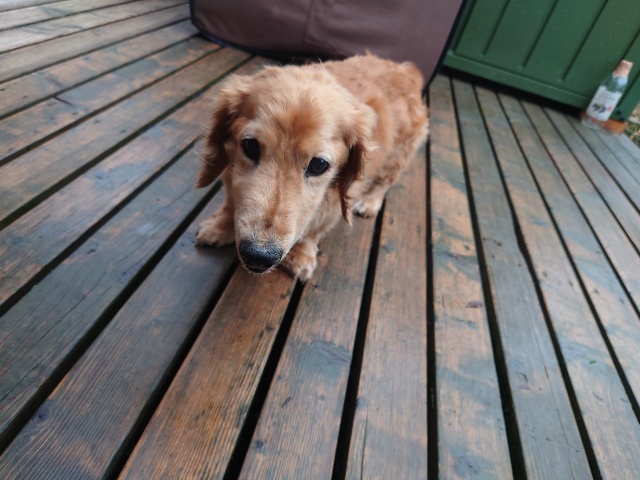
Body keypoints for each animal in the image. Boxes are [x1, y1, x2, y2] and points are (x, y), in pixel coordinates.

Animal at [194, 54, 428, 281]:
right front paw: (220, 227)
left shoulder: (333, 202)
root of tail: (406, 70)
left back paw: (370, 202)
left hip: (398, 155)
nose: (258, 257)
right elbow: (230, 204)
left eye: (319, 164)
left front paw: (301, 254)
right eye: (250, 146)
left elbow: (316, 229)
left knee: (385, 182)